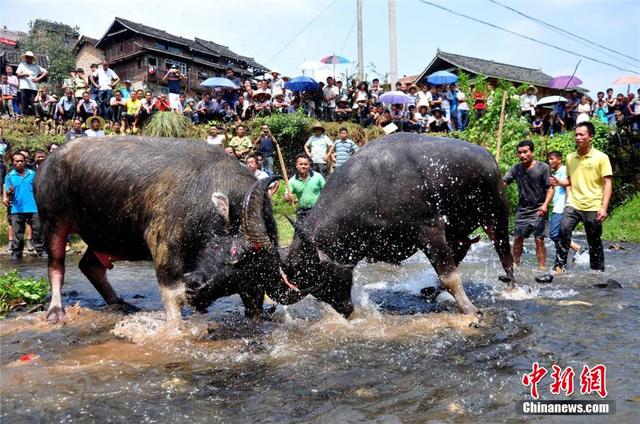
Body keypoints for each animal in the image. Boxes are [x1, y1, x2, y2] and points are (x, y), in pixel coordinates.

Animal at [34, 137, 296, 322]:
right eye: (236, 253)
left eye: (252, 275)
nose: (197, 287)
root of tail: (46, 164)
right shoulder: (162, 243)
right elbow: (174, 296)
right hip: (54, 220)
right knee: (56, 265)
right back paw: (56, 311)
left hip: (107, 237)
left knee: (90, 265)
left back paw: (120, 303)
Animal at [284, 134, 516, 316]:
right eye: (314, 288)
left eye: (319, 276)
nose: (345, 310)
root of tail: (491, 159)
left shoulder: (429, 229)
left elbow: (449, 276)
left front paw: (470, 310)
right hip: (457, 230)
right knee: (460, 250)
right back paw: (431, 291)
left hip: (496, 217)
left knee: (505, 254)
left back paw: (512, 287)